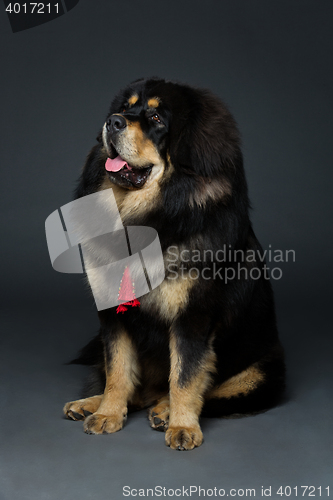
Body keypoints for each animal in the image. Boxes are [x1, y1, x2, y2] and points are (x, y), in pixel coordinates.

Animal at [63, 77, 284, 450]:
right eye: (125, 108)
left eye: (156, 119)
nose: (112, 122)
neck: (146, 217)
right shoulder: (113, 314)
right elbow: (118, 369)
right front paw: (108, 412)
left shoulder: (191, 315)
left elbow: (185, 375)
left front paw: (182, 426)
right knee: (136, 388)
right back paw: (89, 404)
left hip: (259, 375)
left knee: (205, 391)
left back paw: (165, 411)